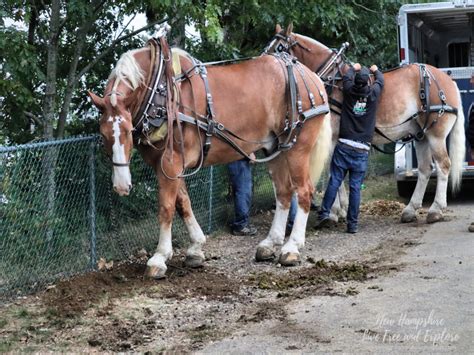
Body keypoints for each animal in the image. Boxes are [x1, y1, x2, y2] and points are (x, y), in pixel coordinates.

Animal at [90, 29, 334, 278]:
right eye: (103, 134)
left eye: (128, 130)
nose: (121, 187)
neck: (162, 91)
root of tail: (310, 77)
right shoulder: (169, 165)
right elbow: (183, 203)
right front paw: (196, 248)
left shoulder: (170, 162)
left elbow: (167, 207)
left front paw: (159, 257)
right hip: (275, 149)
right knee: (283, 193)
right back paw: (270, 243)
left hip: (298, 148)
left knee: (303, 191)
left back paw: (291, 247)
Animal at [266, 24, 466, 225]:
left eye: (279, 48)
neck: (333, 79)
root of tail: (446, 80)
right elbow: (336, 172)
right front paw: (340, 209)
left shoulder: (332, 137)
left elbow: (332, 172)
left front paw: (333, 212)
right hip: (421, 134)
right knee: (425, 169)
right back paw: (410, 210)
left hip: (436, 134)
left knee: (443, 165)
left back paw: (436, 210)